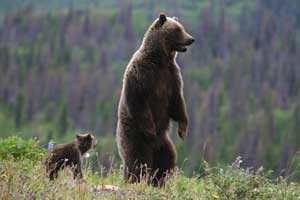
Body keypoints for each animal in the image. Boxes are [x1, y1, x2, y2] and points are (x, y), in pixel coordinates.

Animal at [116, 12, 193, 186]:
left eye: (182, 27)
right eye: (177, 30)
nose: (191, 39)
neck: (160, 59)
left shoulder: (171, 76)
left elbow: (177, 103)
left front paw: (183, 130)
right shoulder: (142, 75)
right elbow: (139, 102)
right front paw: (151, 130)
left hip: (164, 143)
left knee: (167, 160)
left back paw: (159, 181)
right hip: (134, 135)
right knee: (138, 160)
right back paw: (134, 179)